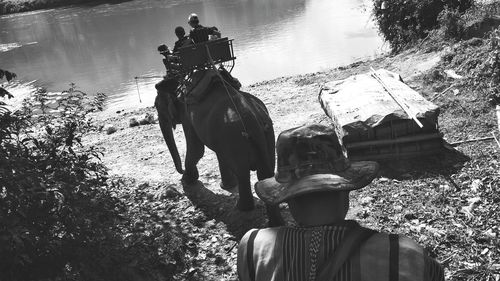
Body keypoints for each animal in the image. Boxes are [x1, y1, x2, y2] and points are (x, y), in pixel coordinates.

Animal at [154, 69, 284, 225]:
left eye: (157, 106)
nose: (181, 171)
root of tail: (253, 121)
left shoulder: (187, 116)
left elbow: (196, 150)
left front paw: (186, 181)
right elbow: (218, 154)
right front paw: (226, 186)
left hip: (235, 140)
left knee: (242, 173)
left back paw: (241, 208)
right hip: (267, 135)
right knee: (265, 175)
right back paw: (276, 223)